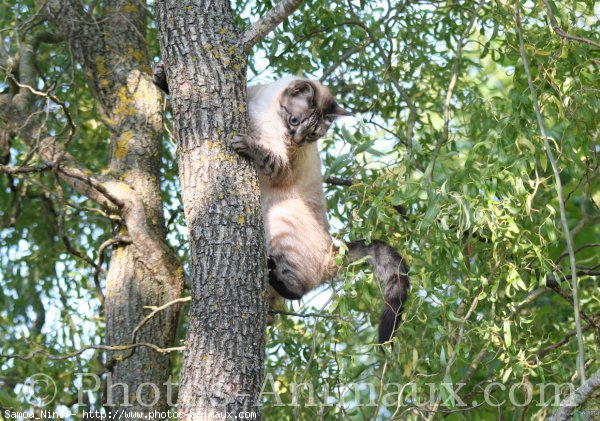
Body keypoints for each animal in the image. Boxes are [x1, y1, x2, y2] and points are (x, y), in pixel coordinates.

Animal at [152, 65, 410, 342]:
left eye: (311, 136)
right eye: (295, 121)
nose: (295, 140)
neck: (268, 111)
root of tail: (334, 248)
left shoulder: (281, 166)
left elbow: (265, 154)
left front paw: (246, 144)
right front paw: (160, 76)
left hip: (281, 215)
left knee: (297, 292)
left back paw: (272, 271)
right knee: (275, 310)